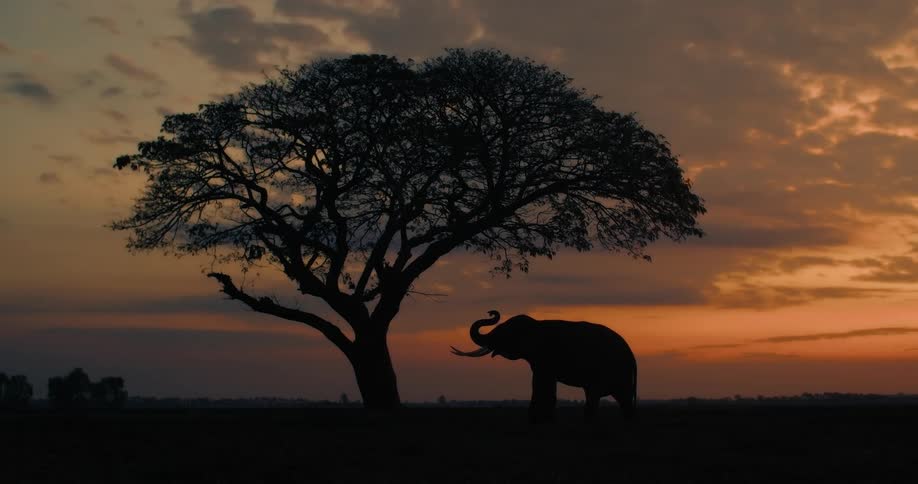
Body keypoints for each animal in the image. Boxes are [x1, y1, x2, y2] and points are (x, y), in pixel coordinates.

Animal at [451, 310, 637, 423]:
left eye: (503, 332)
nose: (491, 313)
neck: (535, 325)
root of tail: (632, 355)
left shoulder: (545, 356)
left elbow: (542, 382)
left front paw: (538, 422)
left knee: (602, 395)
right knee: (619, 399)